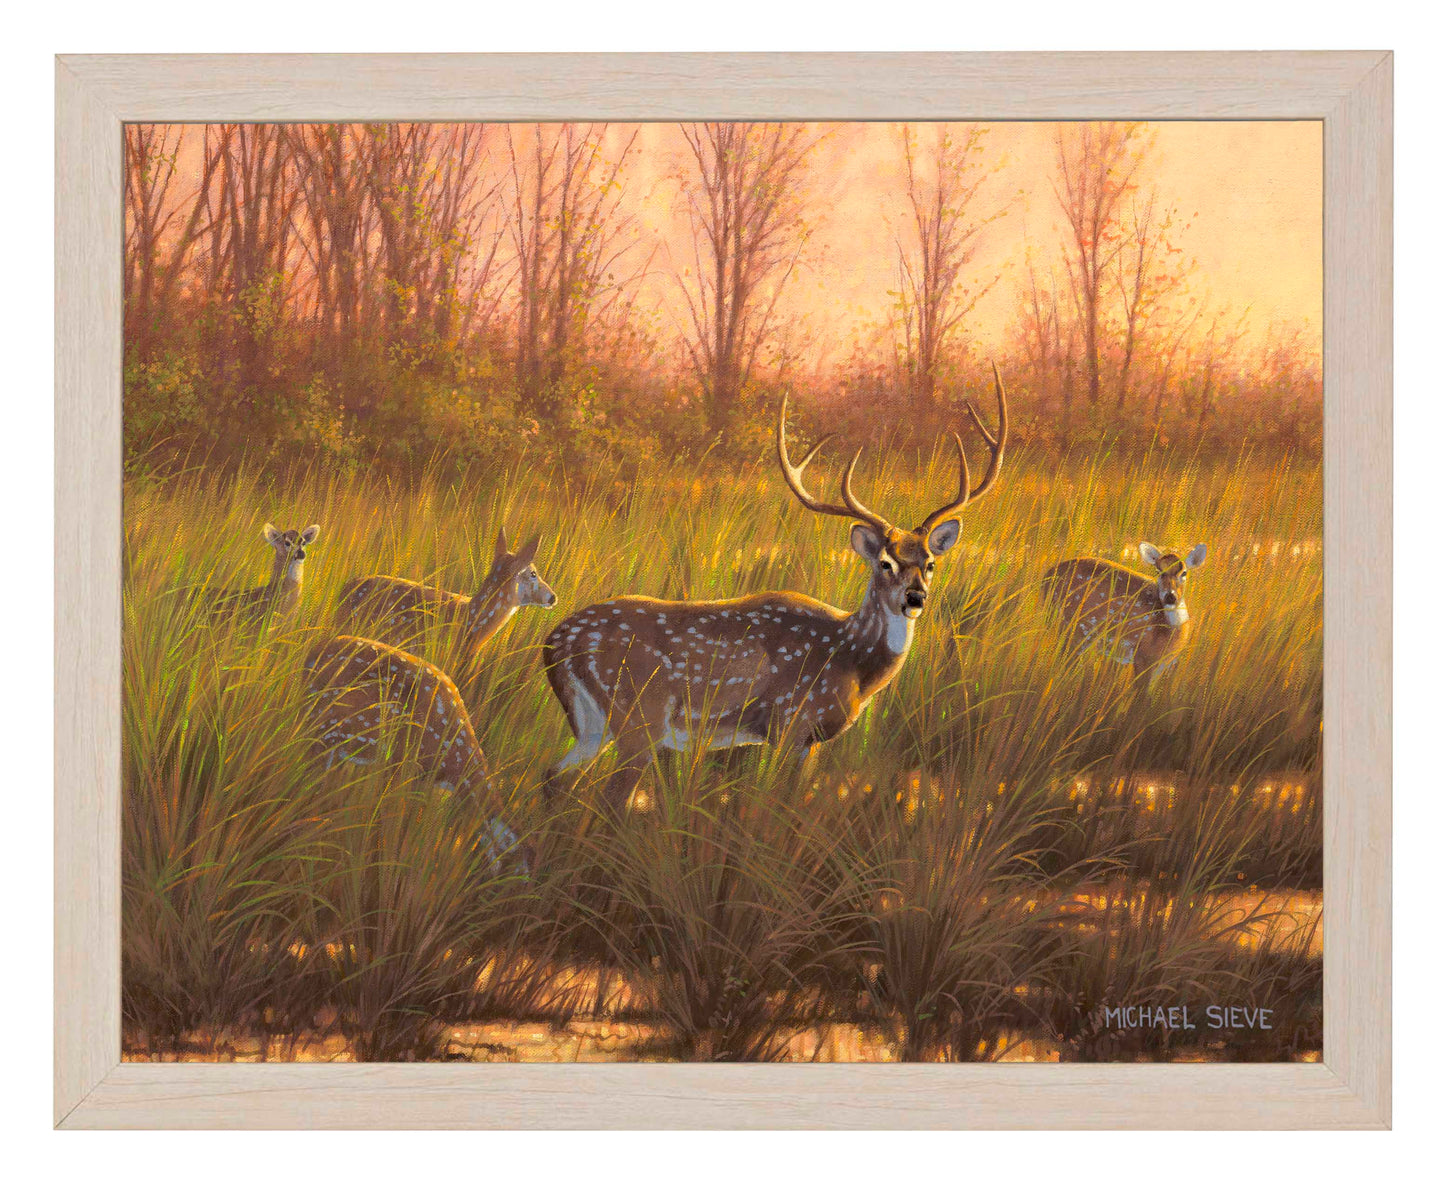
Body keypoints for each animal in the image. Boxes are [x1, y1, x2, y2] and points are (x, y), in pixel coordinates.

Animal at [540, 366, 1009, 813]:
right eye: (885, 563)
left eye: (930, 563)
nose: (915, 598)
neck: (852, 660)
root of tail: (555, 642)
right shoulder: (791, 721)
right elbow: (775, 804)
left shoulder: (808, 741)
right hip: (640, 718)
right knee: (607, 798)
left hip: (593, 725)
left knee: (552, 779)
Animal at [1041, 542, 1207, 686]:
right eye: (1159, 572)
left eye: (1184, 572)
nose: (1170, 596)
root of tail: (1046, 575)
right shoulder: (1143, 658)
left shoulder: (1161, 666)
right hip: (1072, 627)